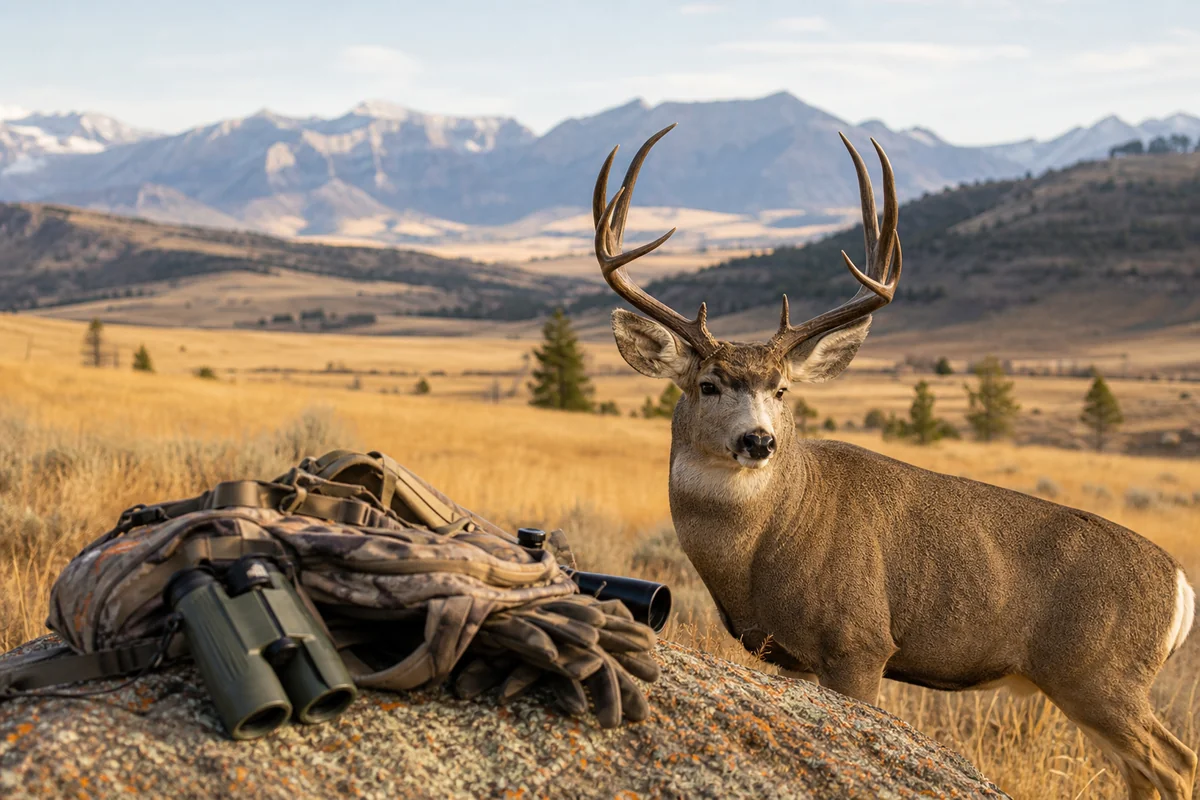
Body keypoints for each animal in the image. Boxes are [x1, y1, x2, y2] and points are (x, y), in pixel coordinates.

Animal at [592, 124, 1197, 800]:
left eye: (783, 389)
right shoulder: (791, 657)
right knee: (1142, 768)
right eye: (708, 385)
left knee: (1175, 759)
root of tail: (1180, 586)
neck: (763, 546)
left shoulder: (859, 640)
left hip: (1100, 675)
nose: (759, 441)